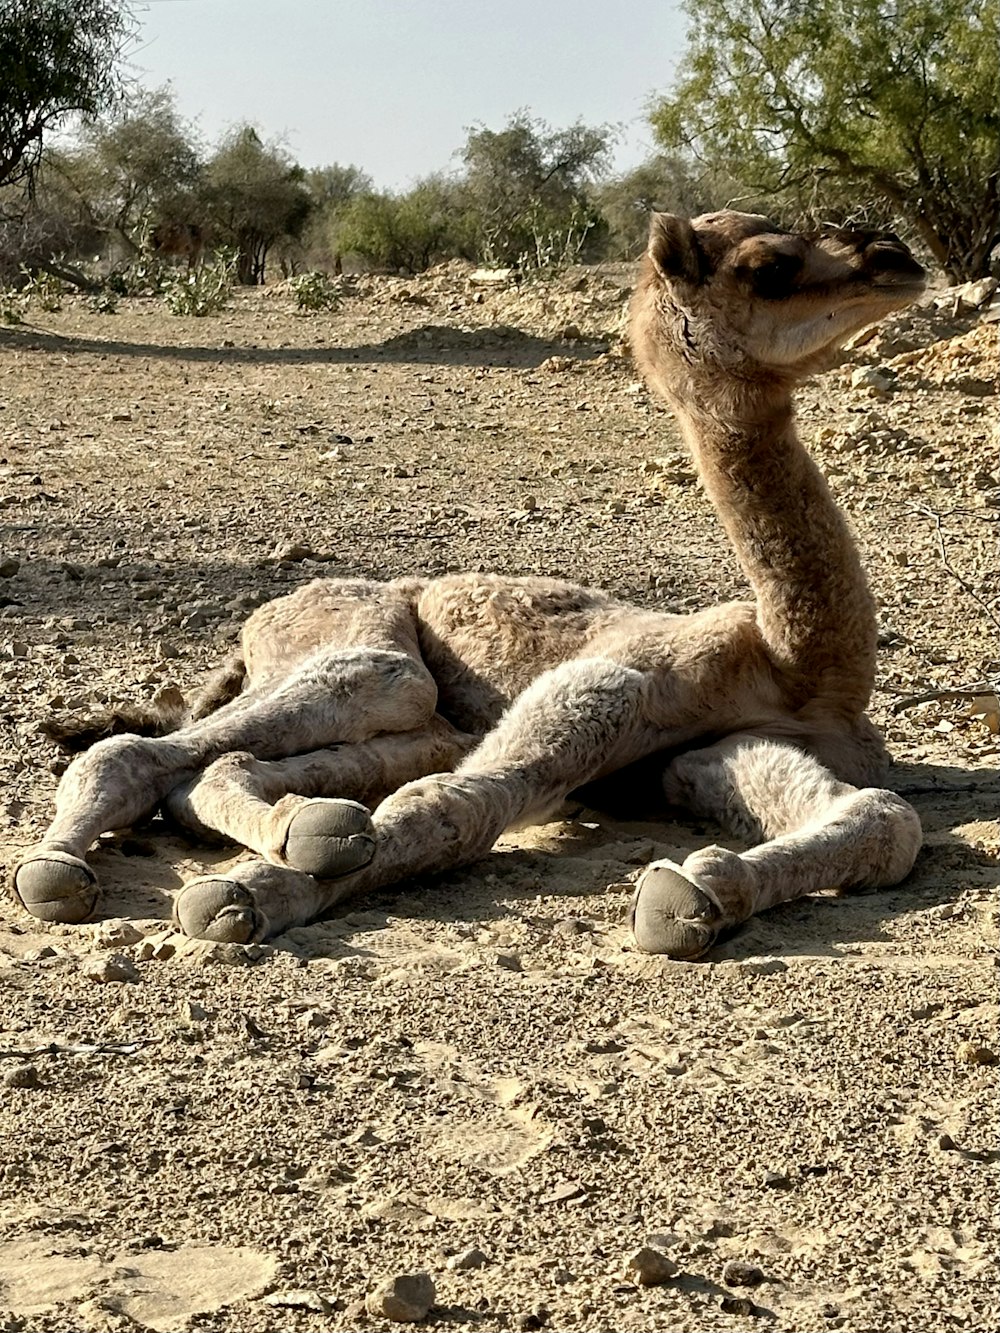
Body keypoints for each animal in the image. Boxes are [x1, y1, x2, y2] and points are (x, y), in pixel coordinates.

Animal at [9, 210, 933, 959]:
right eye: (769, 264)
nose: (894, 254)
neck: (793, 657)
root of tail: (259, 620)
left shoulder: (712, 747)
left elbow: (889, 819)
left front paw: (701, 888)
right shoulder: (615, 681)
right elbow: (453, 806)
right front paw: (245, 894)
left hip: (425, 718)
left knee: (215, 772)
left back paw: (304, 825)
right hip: (373, 658)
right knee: (142, 751)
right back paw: (57, 871)